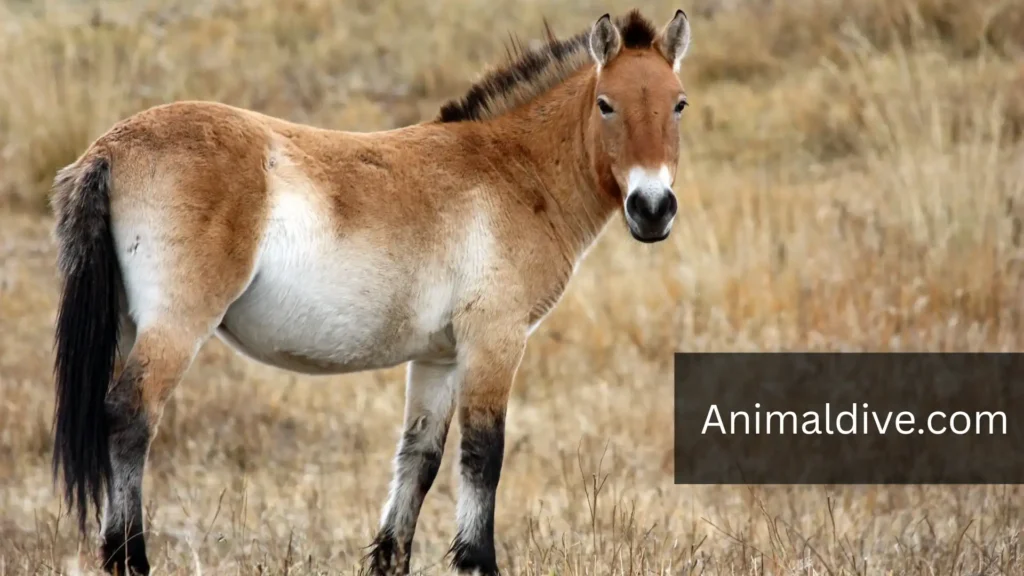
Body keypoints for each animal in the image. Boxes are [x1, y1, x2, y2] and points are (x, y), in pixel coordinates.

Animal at [49, 8, 692, 575]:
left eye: (679, 103)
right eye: (606, 104)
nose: (653, 209)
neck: (514, 171)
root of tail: (110, 148)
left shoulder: (439, 359)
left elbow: (419, 460)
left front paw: (391, 560)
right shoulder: (495, 342)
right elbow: (483, 455)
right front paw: (477, 562)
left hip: (128, 324)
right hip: (176, 326)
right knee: (131, 416)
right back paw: (130, 560)